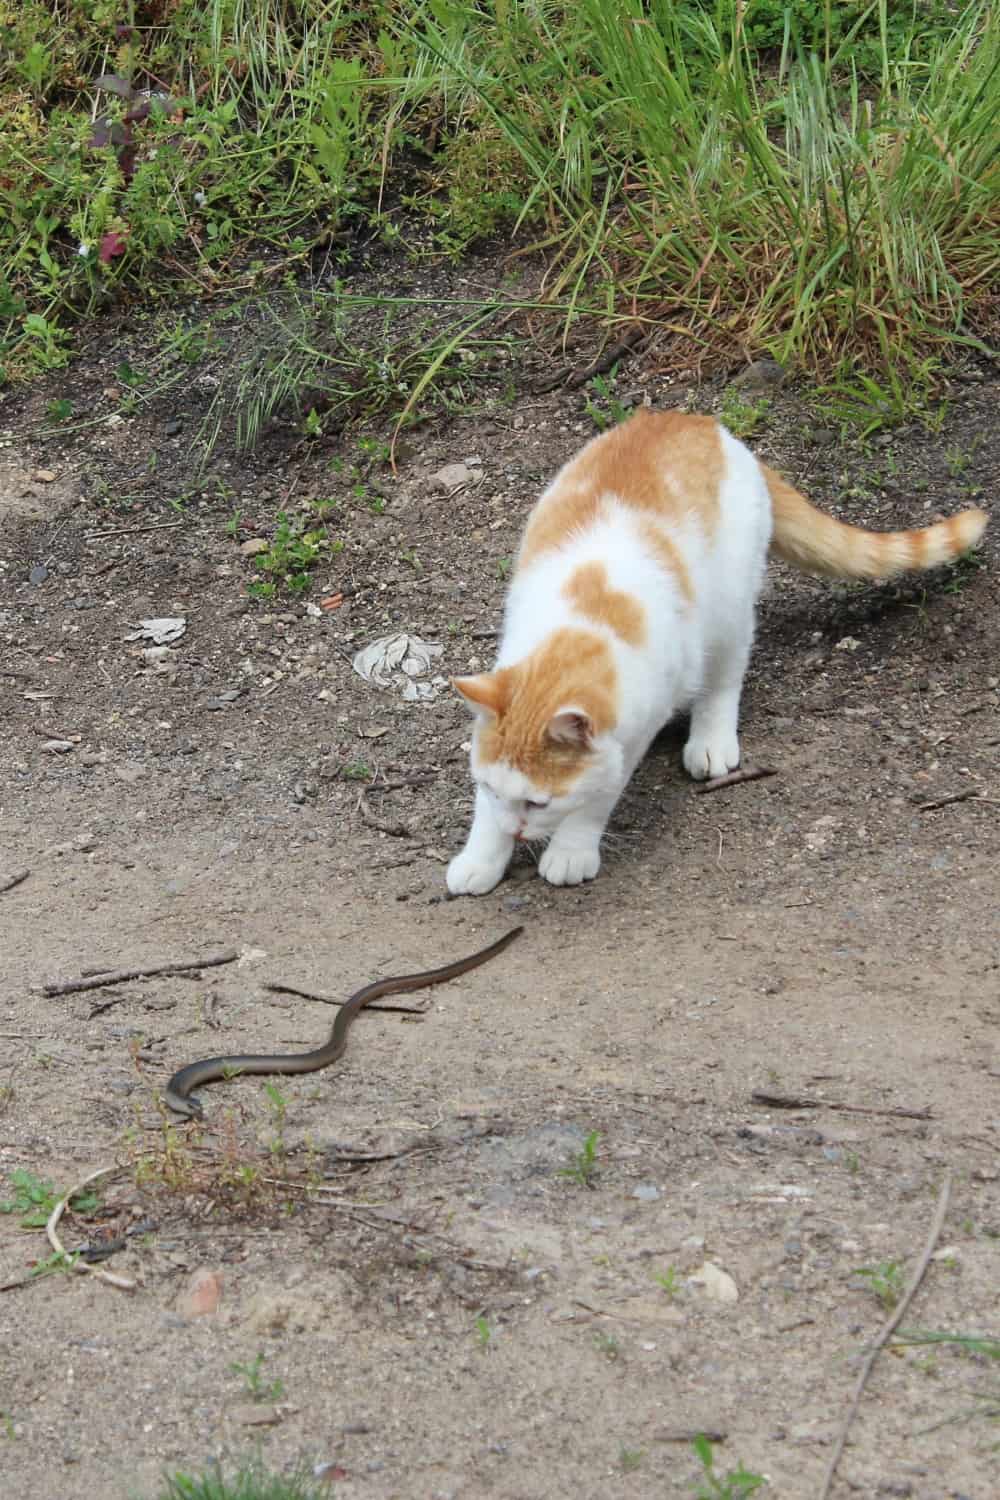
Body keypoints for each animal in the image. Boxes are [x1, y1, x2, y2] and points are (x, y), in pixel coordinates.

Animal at [446, 408, 983, 888]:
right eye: (489, 788)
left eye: (539, 803)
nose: (516, 832)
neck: (581, 621)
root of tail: (701, 421)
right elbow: (486, 813)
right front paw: (483, 855)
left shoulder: (634, 730)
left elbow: (599, 795)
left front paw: (571, 849)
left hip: (728, 608)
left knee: (723, 678)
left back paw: (710, 738)